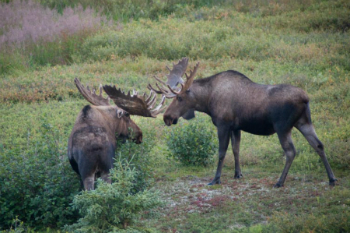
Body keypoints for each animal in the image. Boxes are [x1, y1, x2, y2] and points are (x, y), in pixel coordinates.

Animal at [150, 58, 336, 187]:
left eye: (180, 98)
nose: (167, 117)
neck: (207, 101)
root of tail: (305, 98)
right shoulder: (236, 127)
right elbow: (236, 149)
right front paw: (237, 174)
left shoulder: (223, 124)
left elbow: (221, 152)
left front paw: (215, 179)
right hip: (304, 122)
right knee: (318, 145)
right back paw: (332, 179)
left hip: (282, 127)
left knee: (291, 151)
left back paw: (279, 181)